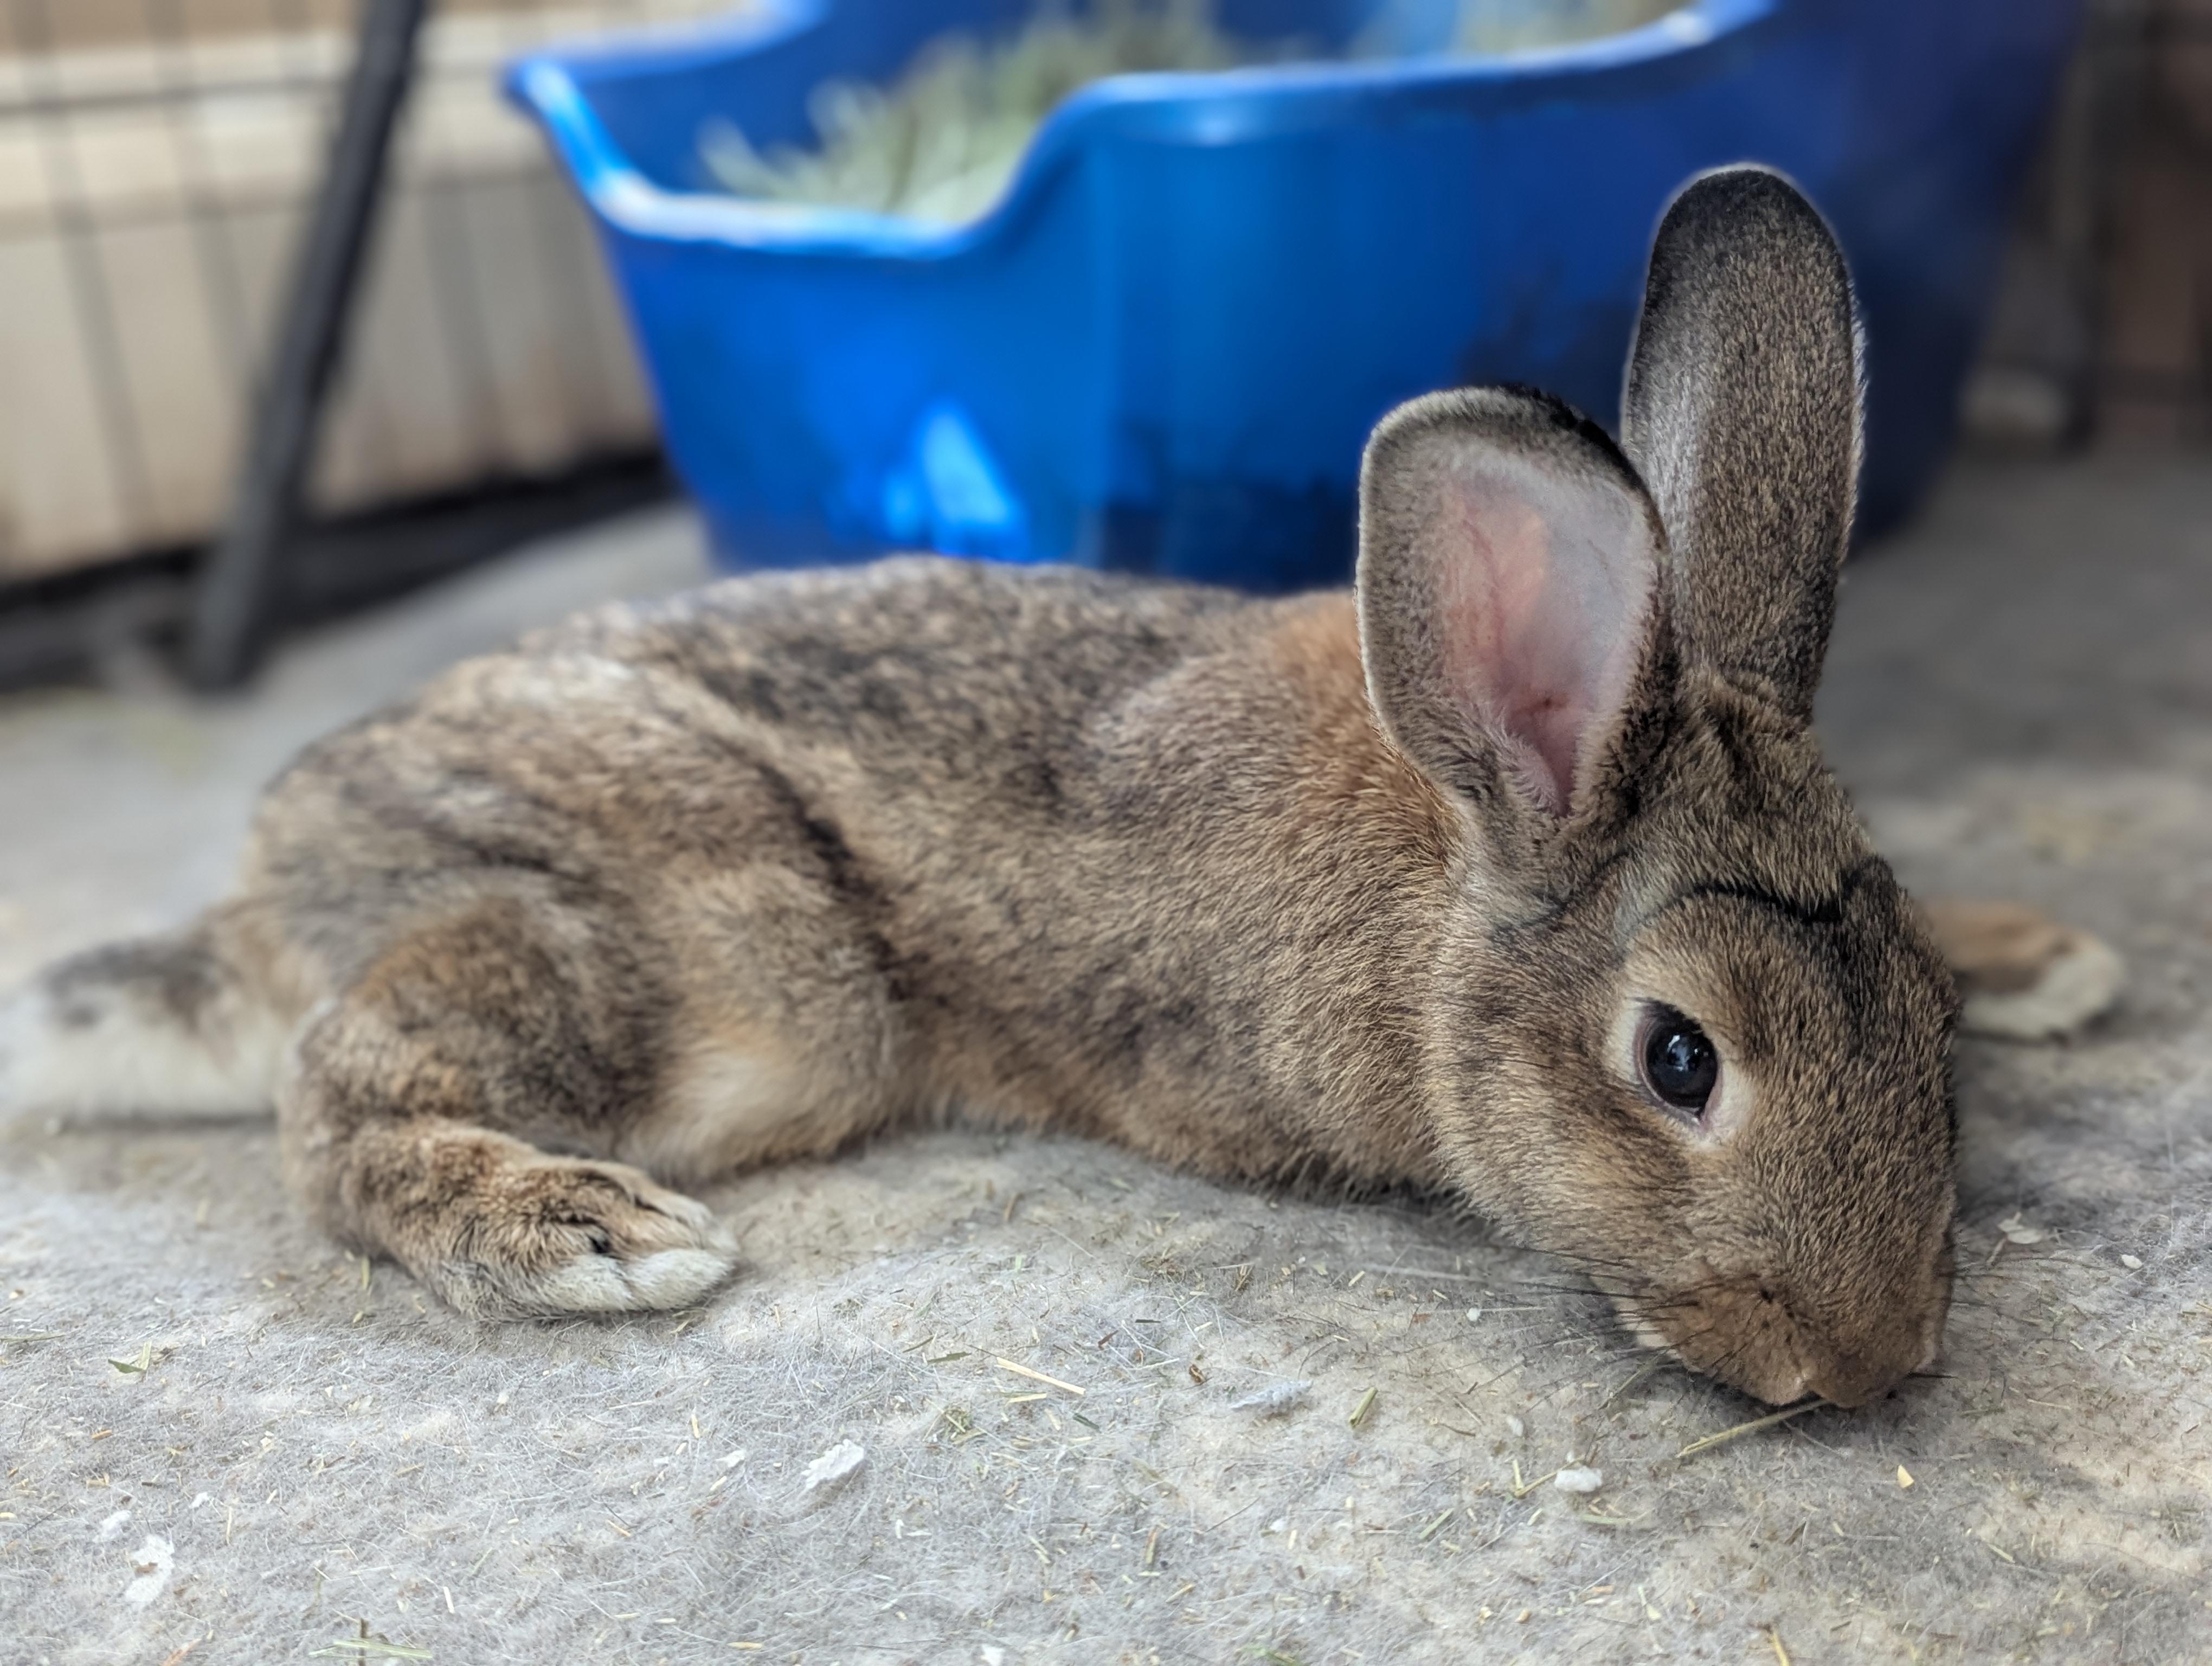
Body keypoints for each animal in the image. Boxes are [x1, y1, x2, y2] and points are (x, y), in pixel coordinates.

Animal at [1, 165, 1961, 1408]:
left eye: (1928, 1004)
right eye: (1681, 1062)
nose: (1869, 1365)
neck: (1461, 852)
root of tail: (267, 885)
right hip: (728, 969)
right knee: (332, 1096)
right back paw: (583, 1231)